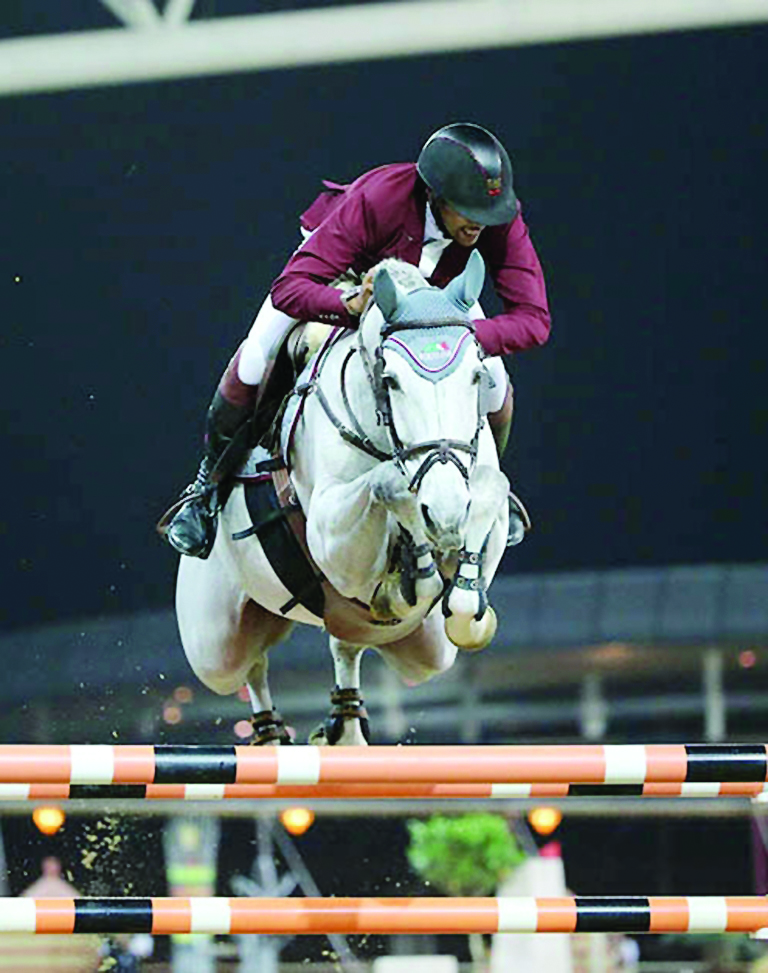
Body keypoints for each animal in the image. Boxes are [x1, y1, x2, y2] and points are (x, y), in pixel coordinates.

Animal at [175, 250, 510, 745]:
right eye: (390, 381)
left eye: (476, 376)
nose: (447, 515)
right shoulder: (331, 537)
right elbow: (387, 484)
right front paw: (414, 564)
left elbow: (490, 491)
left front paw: (462, 598)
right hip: (213, 642)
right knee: (250, 665)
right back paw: (270, 734)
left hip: (423, 650)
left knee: (346, 644)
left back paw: (346, 723)